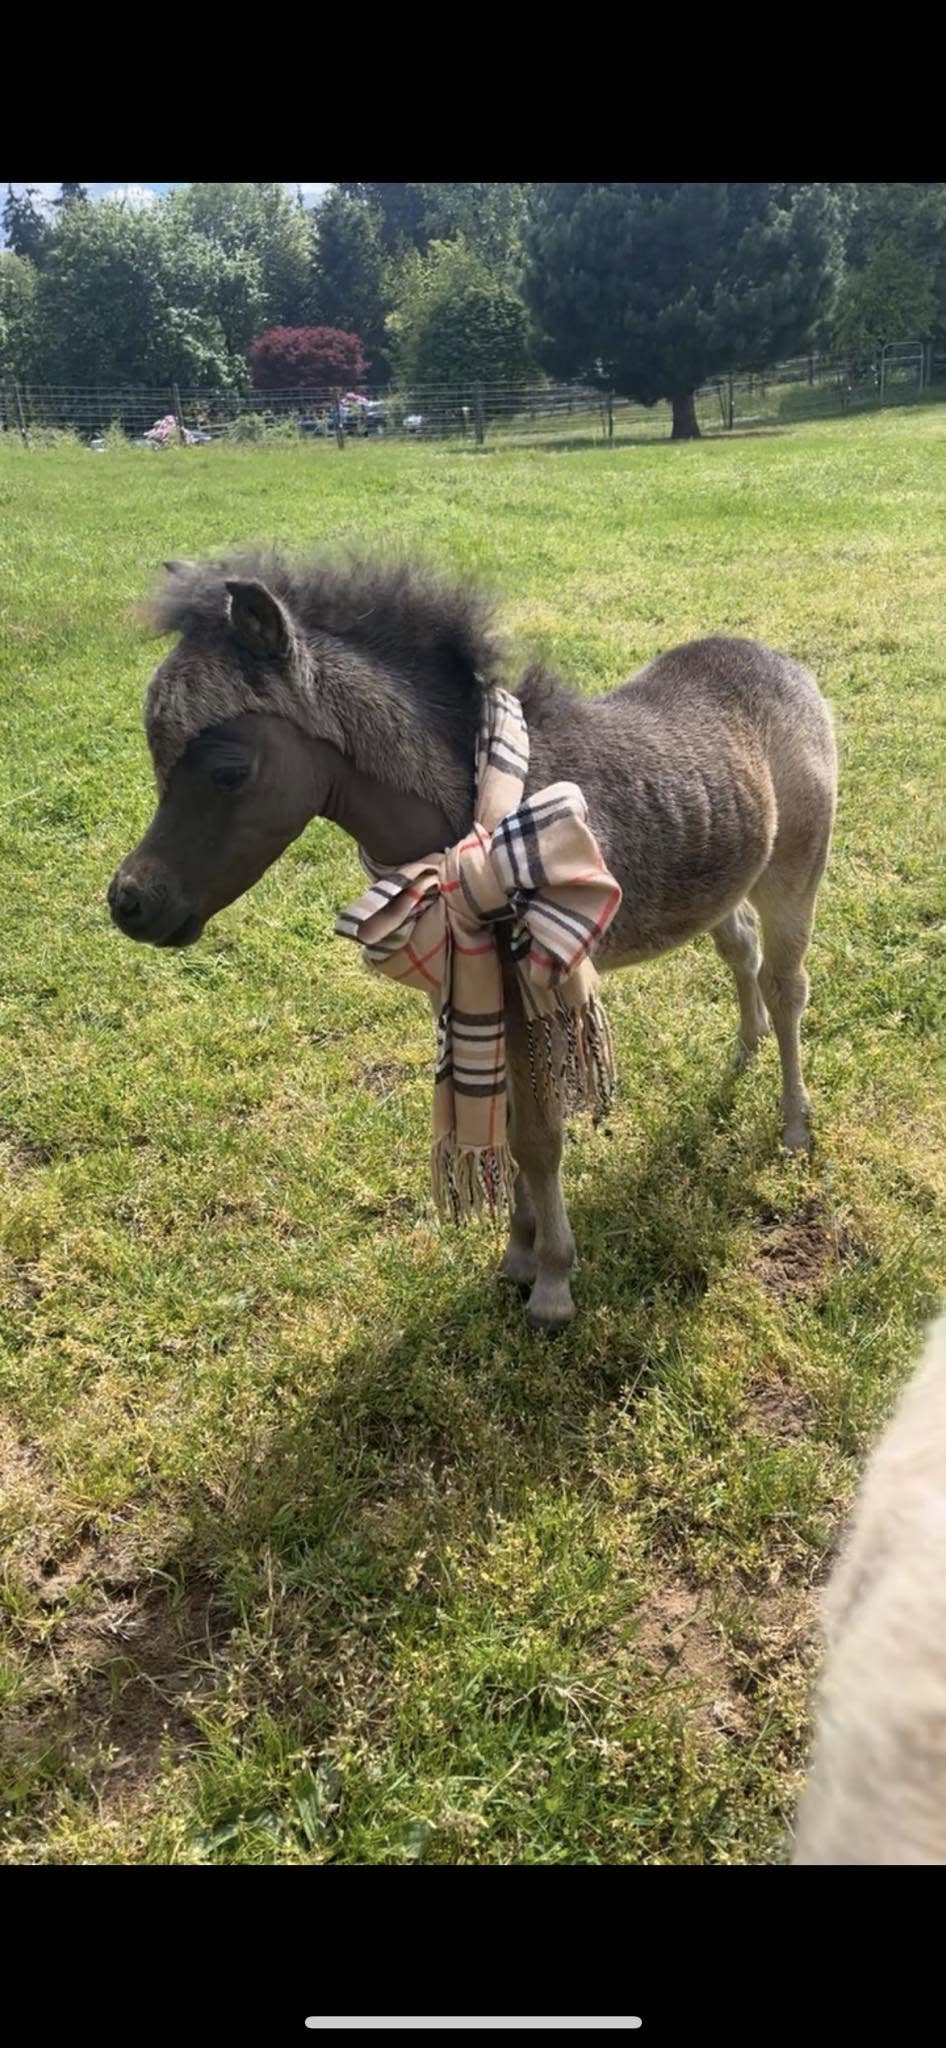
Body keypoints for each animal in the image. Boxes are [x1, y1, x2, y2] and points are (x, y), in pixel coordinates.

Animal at [108, 554, 837, 1329]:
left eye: (229, 771)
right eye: (155, 758)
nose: (131, 903)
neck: (474, 828)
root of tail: (783, 662)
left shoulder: (528, 990)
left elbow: (538, 1140)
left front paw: (551, 1283)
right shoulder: (477, 987)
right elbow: (509, 1126)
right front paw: (518, 1251)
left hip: (794, 869)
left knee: (787, 986)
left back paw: (794, 1127)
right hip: (723, 876)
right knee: (741, 950)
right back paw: (744, 1050)